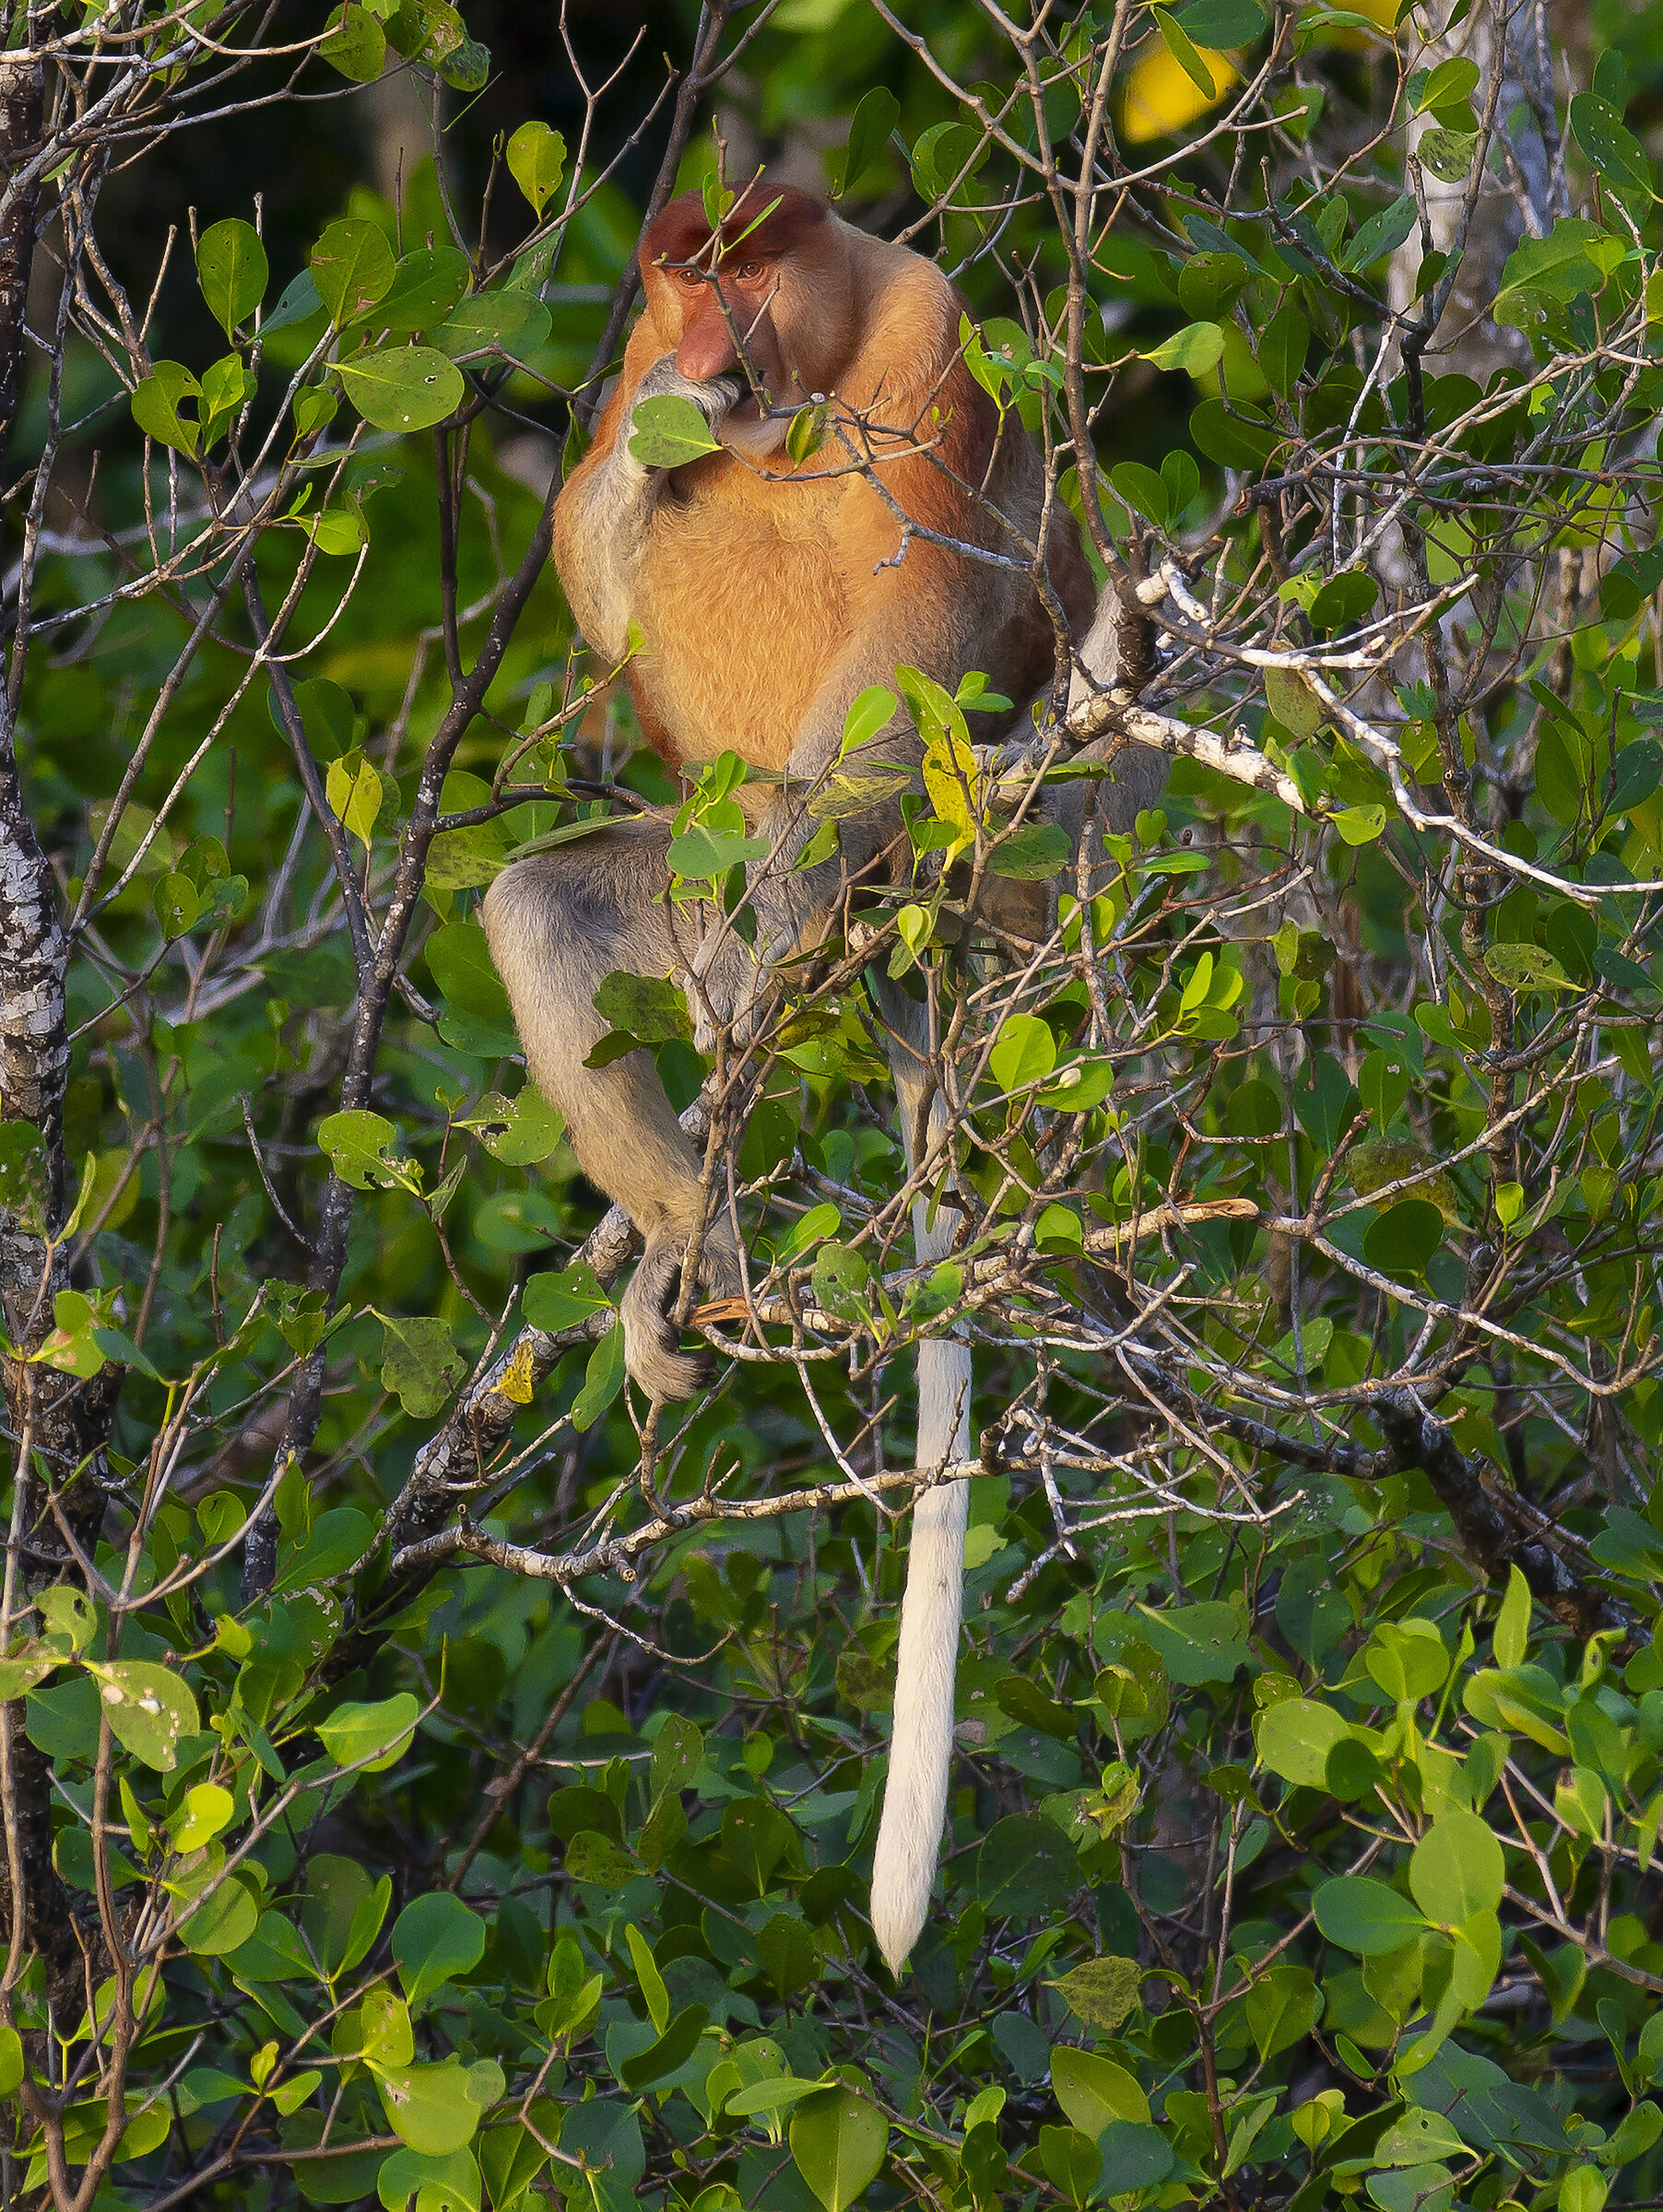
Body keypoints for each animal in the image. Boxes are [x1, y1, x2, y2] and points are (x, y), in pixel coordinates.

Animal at [482, 177, 1163, 1972]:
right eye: (684, 277)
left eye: (759, 264)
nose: (720, 351)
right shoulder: (625, 365)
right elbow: (596, 545)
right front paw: (665, 439)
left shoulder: (931, 337)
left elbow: (927, 599)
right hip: (681, 865)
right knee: (538, 910)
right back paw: (683, 1246)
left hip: (913, 841)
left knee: (849, 797)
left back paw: (783, 932)